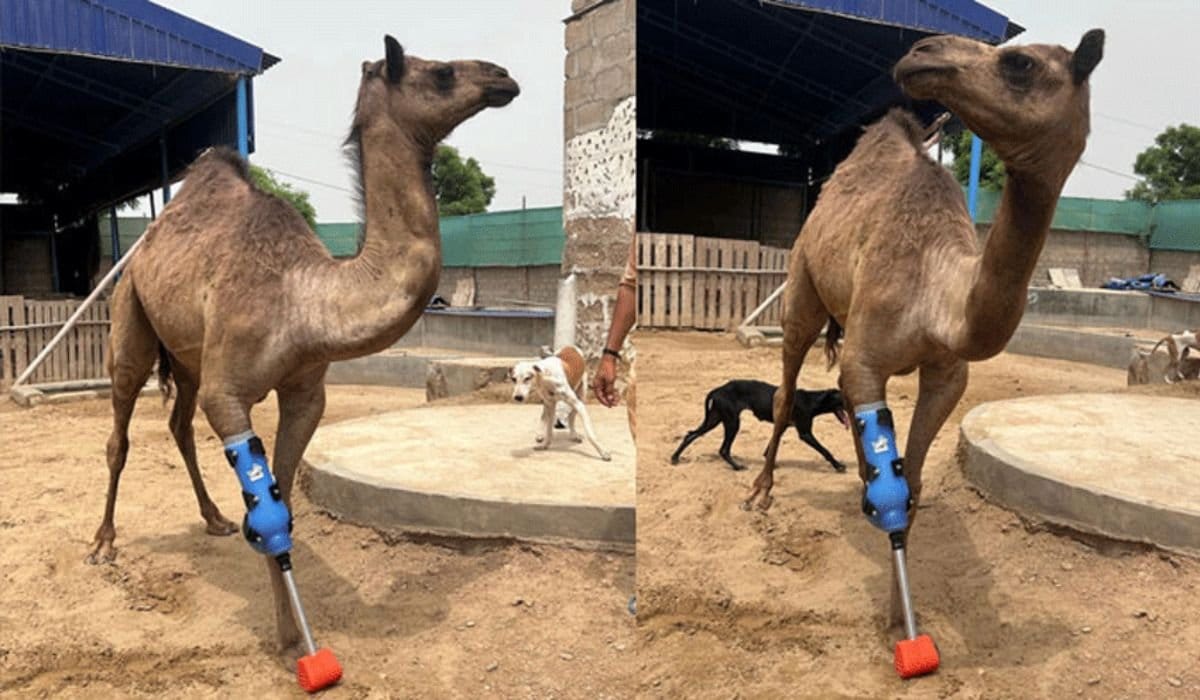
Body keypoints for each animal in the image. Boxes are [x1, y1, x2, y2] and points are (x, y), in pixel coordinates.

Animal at [86, 36, 518, 656]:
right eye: (440, 73)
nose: (503, 76)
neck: (305, 300)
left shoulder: (306, 392)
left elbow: (283, 501)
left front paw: (290, 629)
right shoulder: (229, 392)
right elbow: (266, 509)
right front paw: (291, 640)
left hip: (188, 355)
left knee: (178, 424)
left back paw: (214, 518)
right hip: (130, 314)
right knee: (119, 430)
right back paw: (103, 543)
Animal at [745, 30, 1104, 626]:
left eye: (1019, 63)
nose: (921, 52)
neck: (938, 299)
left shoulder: (947, 376)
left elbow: (907, 483)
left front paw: (899, 613)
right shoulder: (865, 357)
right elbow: (888, 474)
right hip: (802, 286)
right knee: (785, 389)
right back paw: (761, 491)